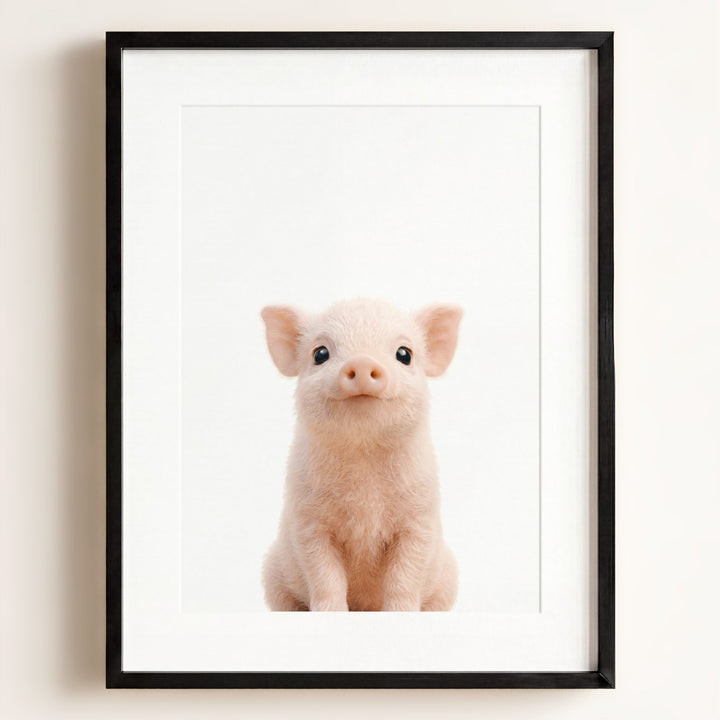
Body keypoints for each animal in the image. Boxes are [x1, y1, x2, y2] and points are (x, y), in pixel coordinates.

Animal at [260, 298, 462, 611]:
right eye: (320, 353)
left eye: (404, 354)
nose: (363, 361)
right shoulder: (308, 523)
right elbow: (325, 576)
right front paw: (329, 612)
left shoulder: (419, 520)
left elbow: (405, 576)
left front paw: (401, 613)